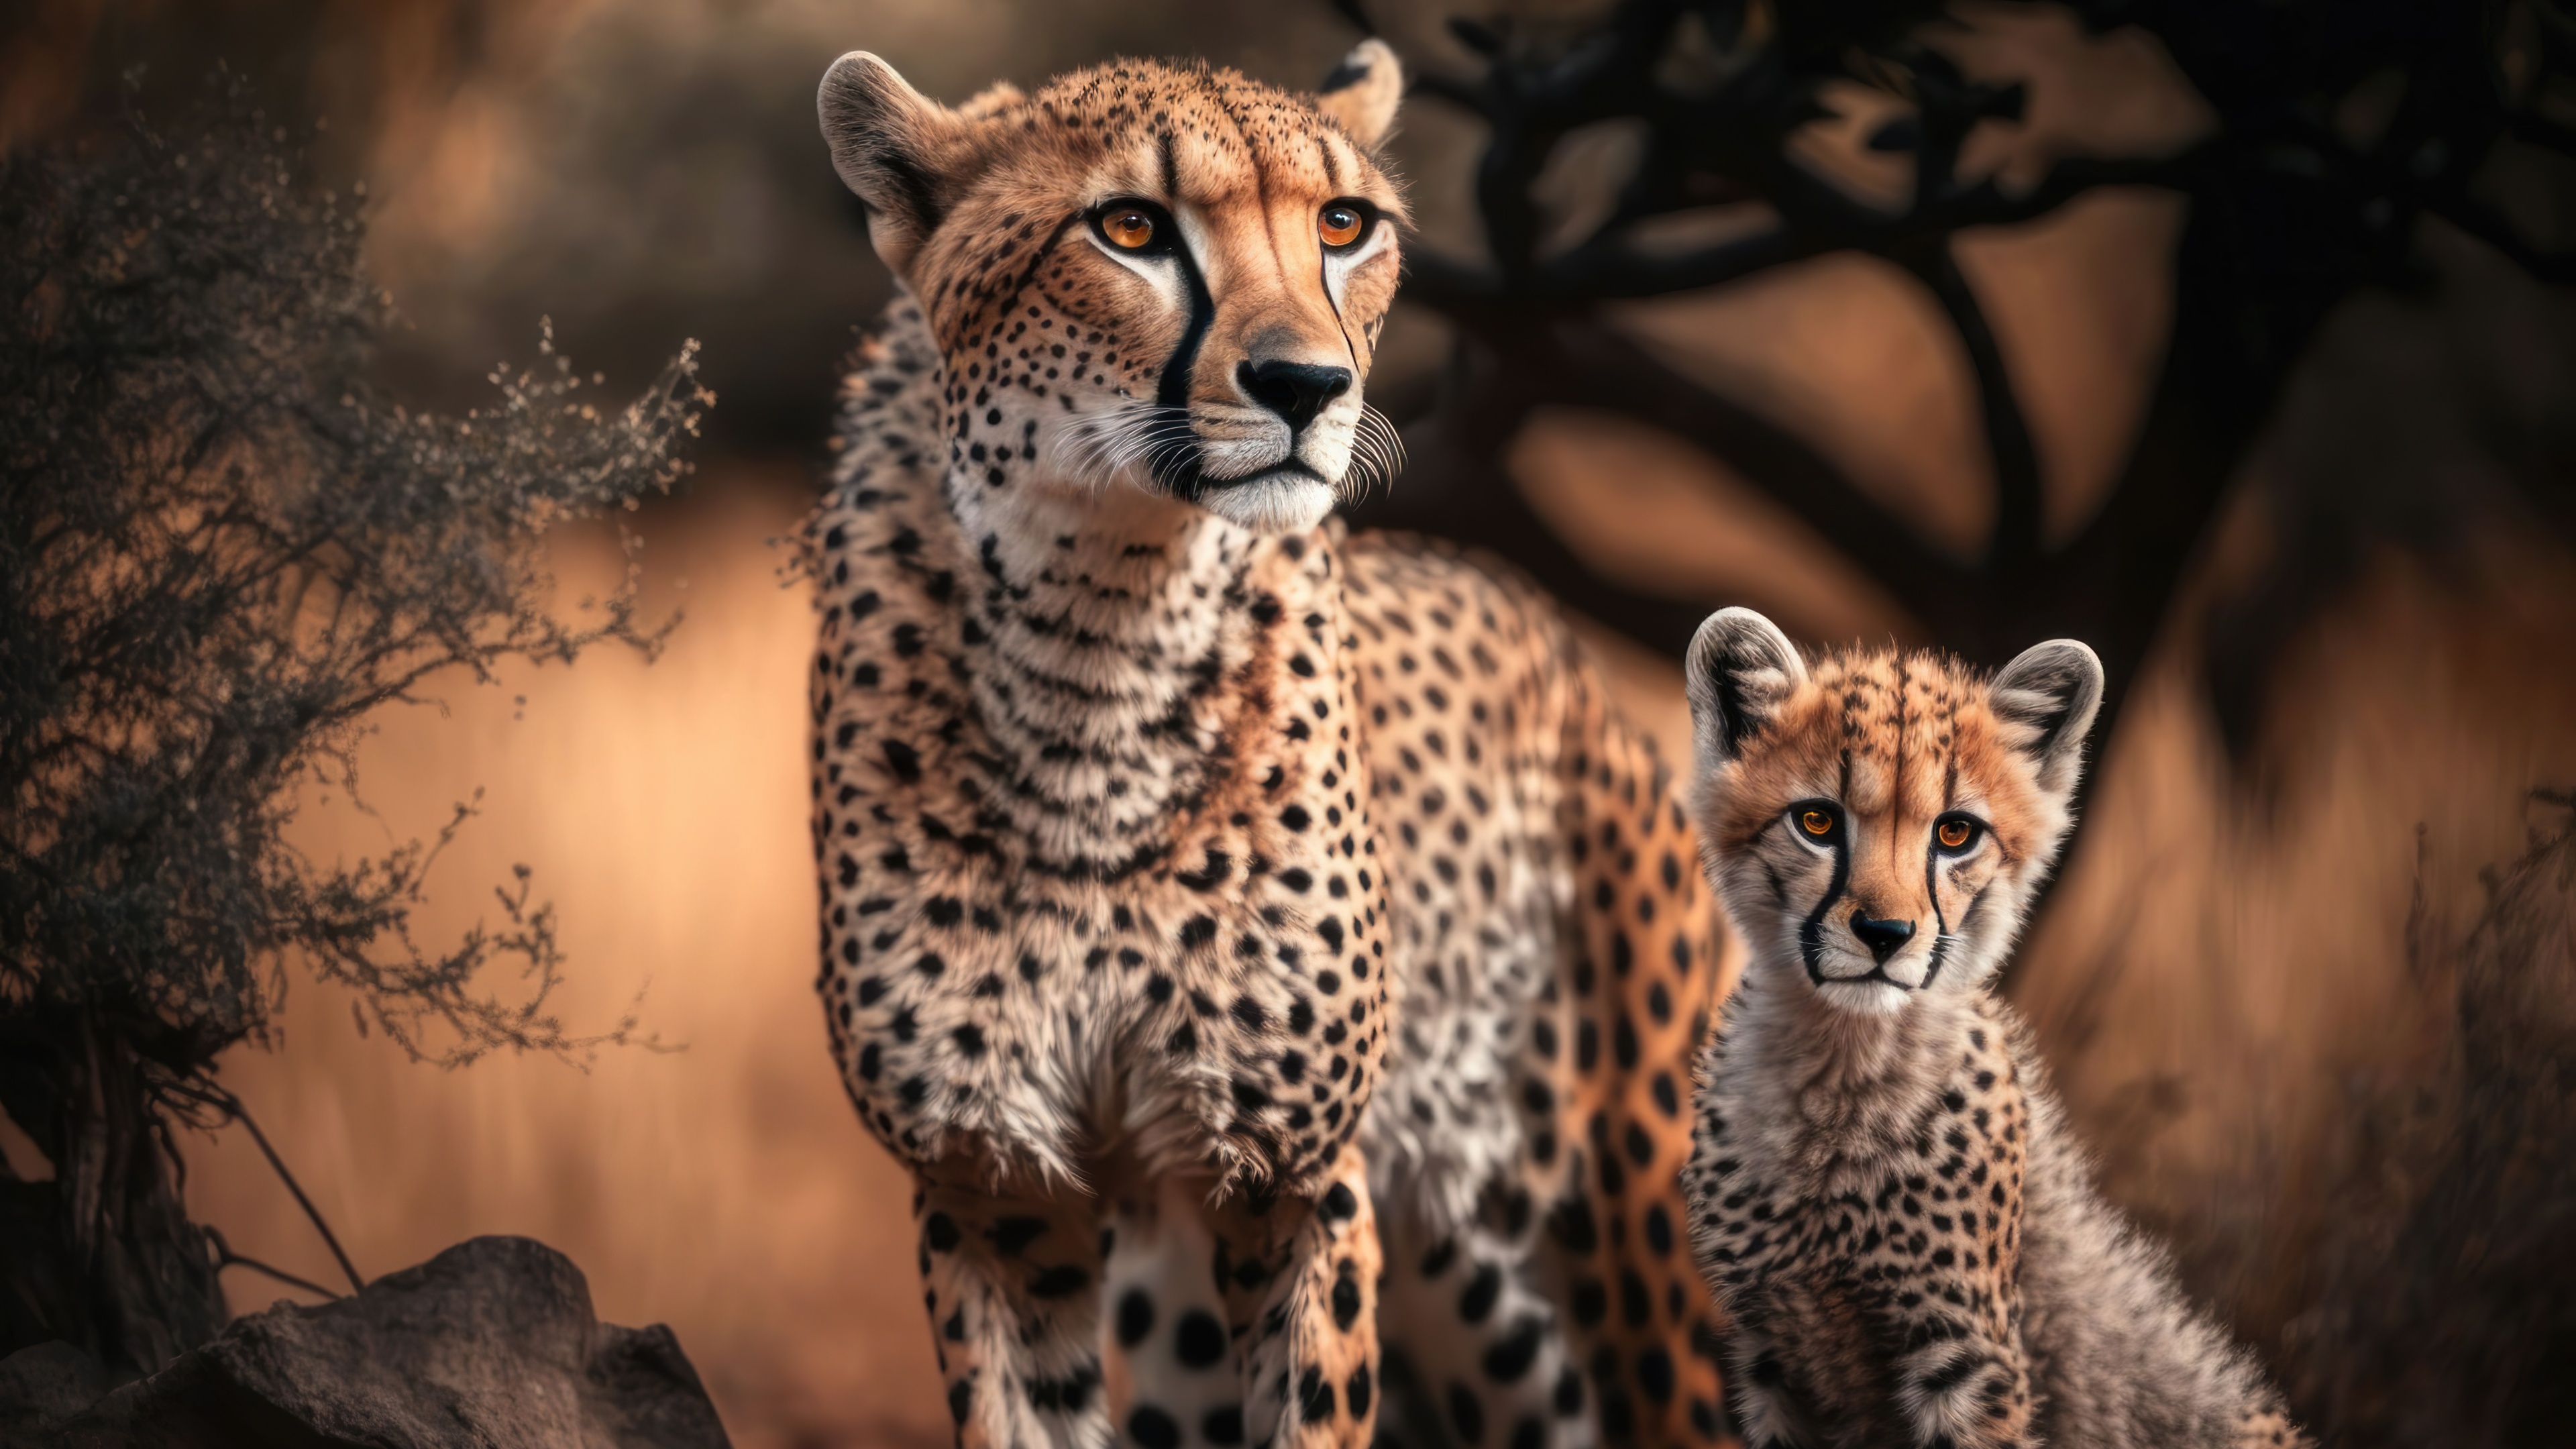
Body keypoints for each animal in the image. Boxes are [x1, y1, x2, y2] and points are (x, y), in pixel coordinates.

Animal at [805, 39, 1737, 1449]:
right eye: (1131, 227)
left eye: (1343, 226)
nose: (1309, 387)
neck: (1099, 629)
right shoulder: (993, 1188)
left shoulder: (1293, 1178)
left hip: (1628, 1247)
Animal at [1673, 607, 2308, 1449]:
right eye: (1816, 822)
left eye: (1955, 834)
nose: (1885, 934)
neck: (1841, 1068)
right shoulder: (1774, 1352)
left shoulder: (1968, 1355)